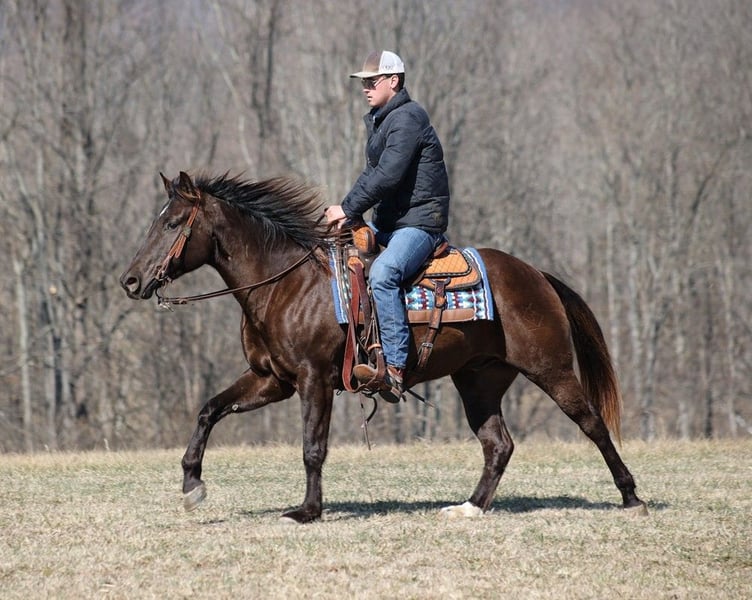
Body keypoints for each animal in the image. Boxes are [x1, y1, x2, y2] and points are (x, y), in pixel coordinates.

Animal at [119, 171, 648, 522]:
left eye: (172, 224)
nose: (131, 281)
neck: (286, 284)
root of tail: (535, 274)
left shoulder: (314, 380)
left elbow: (313, 447)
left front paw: (307, 510)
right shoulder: (271, 380)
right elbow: (209, 410)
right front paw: (192, 484)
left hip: (551, 369)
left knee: (592, 424)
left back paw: (632, 497)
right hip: (478, 381)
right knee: (498, 444)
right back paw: (470, 508)